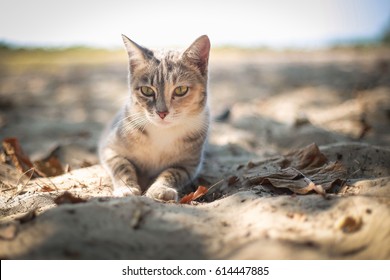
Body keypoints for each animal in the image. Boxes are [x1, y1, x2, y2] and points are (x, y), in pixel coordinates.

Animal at [99, 35, 212, 201]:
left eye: (181, 90)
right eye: (146, 91)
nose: (162, 113)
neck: (162, 132)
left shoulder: (188, 165)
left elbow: (172, 173)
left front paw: (160, 188)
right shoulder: (109, 149)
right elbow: (122, 166)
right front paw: (127, 188)